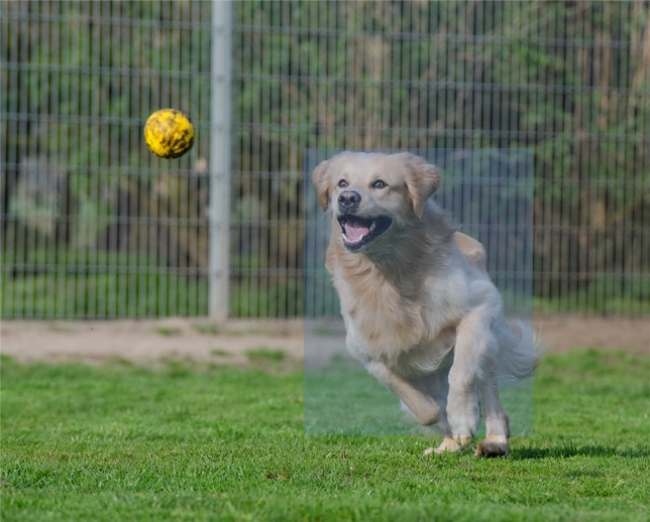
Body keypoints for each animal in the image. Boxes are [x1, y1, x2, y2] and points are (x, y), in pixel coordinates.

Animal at [312, 150, 536, 456]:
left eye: (379, 184)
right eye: (341, 183)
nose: (347, 198)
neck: (387, 272)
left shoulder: (479, 308)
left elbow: (462, 373)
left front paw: (463, 417)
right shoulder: (369, 353)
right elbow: (424, 407)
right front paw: (448, 423)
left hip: (488, 341)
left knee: (488, 390)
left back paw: (495, 441)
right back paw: (448, 445)